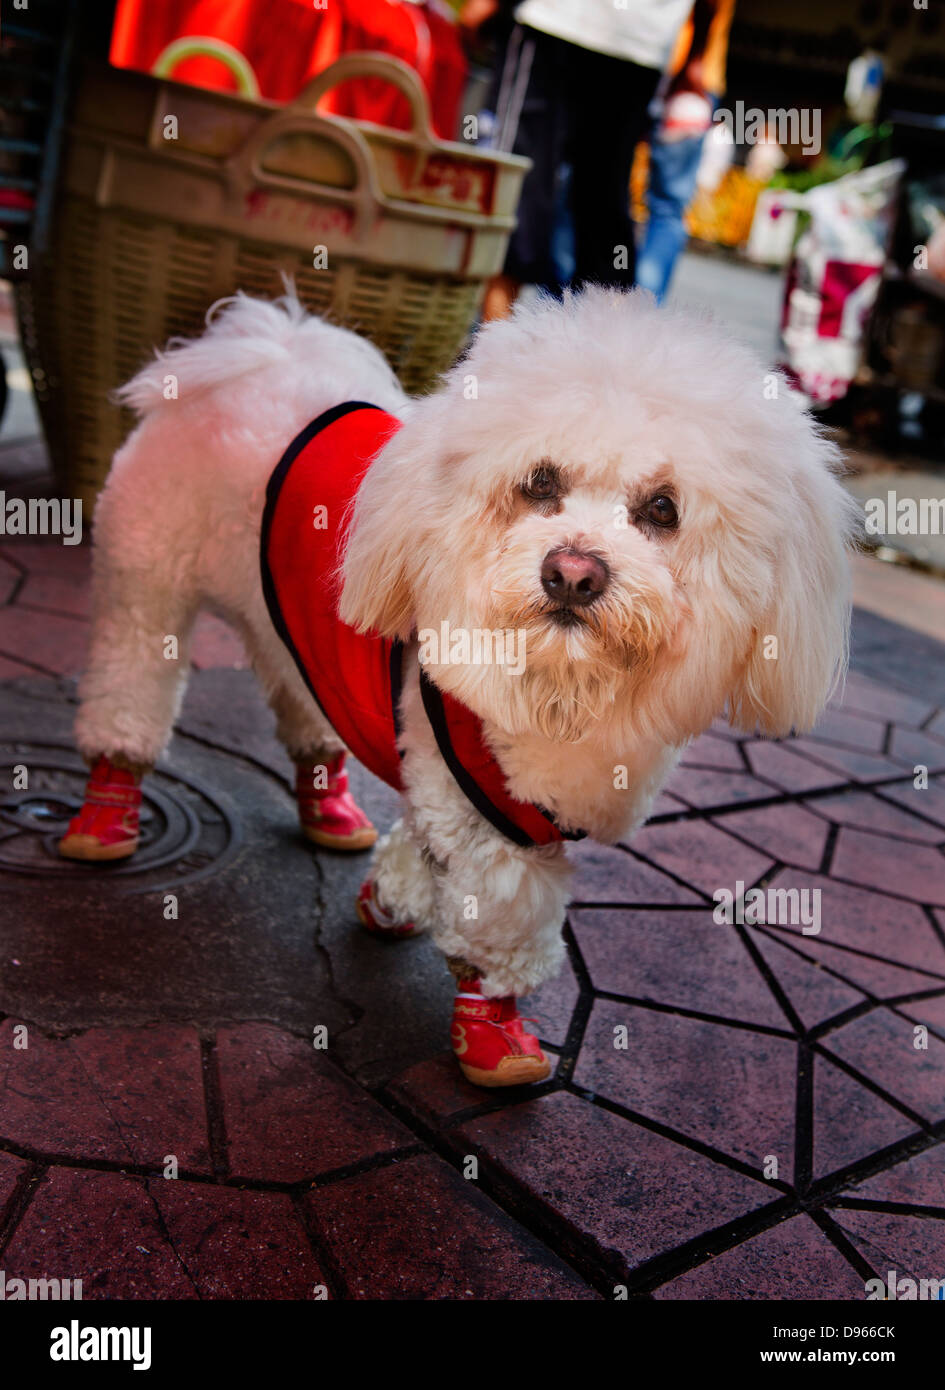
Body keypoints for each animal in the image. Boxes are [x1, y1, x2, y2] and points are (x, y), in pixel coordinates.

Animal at [59, 290, 856, 1084]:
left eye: (662, 508)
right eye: (540, 482)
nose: (572, 573)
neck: (567, 689)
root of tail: (261, 351)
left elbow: (426, 851)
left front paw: (390, 898)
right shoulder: (482, 810)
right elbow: (502, 923)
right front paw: (493, 1030)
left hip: (281, 615)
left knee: (298, 699)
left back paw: (328, 803)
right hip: (148, 584)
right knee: (130, 683)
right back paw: (108, 808)